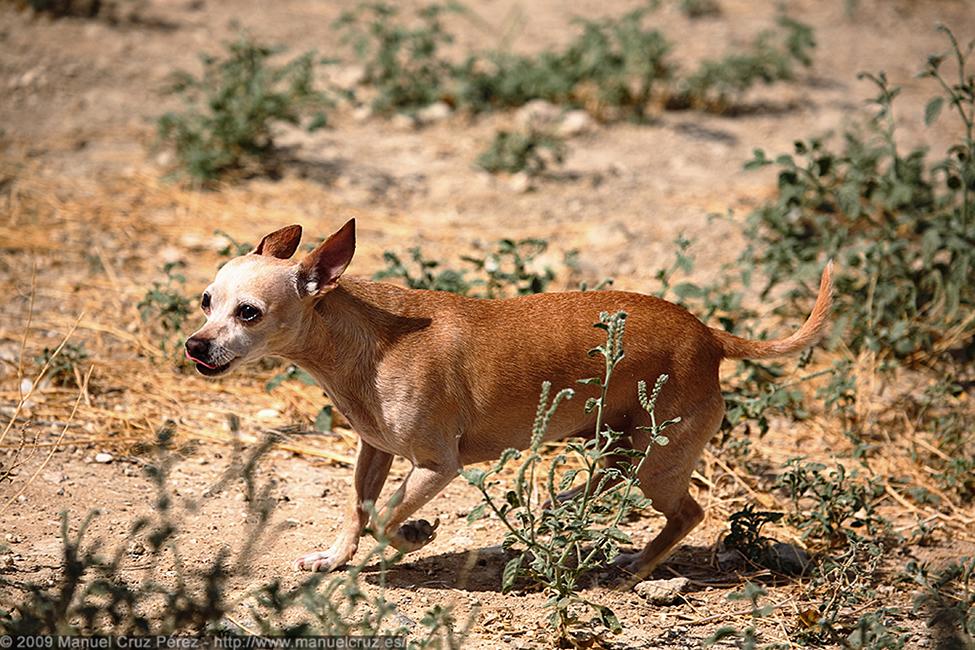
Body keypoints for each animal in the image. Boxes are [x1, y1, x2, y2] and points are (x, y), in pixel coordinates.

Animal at [187, 220, 836, 580]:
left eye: (249, 313)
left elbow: (384, 517)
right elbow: (358, 511)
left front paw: (413, 535)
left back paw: (635, 566)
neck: (365, 340)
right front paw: (332, 559)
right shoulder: (374, 452)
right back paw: (560, 510)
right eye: (205, 301)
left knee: (690, 514)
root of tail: (710, 334)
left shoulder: (436, 465)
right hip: (621, 445)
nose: (195, 345)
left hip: (657, 461)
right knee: (608, 484)